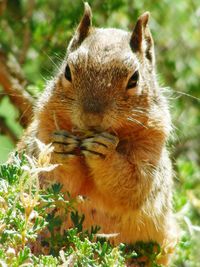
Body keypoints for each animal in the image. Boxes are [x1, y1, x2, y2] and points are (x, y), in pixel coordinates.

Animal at [17, 3, 177, 266]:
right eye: (68, 71)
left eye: (134, 78)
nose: (92, 116)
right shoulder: (42, 137)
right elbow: (53, 181)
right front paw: (62, 149)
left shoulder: (151, 152)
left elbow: (134, 185)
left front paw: (105, 153)